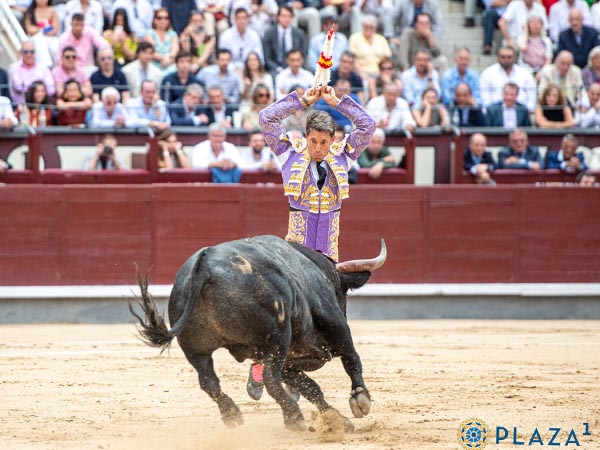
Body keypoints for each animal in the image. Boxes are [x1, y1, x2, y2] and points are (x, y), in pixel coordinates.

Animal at [129, 236, 386, 428]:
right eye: (343, 291)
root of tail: (205, 266)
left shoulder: (285, 359)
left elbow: (310, 387)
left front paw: (337, 419)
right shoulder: (333, 322)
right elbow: (351, 358)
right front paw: (360, 399)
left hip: (196, 348)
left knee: (209, 382)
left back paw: (233, 416)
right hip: (276, 338)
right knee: (271, 380)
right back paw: (294, 418)